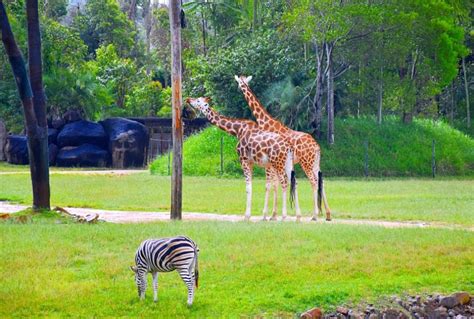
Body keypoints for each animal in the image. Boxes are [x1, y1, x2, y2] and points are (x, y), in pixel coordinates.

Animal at [234, 75, 332, 221]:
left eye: (240, 83)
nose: (238, 88)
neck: (265, 122)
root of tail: (317, 147)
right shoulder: (275, 163)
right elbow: (278, 184)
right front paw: (274, 215)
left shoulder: (272, 162)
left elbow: (274, 184)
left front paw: (272, 215)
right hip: (315, 163)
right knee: (322, 182)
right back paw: (328, 214)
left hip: (306, 163)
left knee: (314, 182)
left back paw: (315, 215)